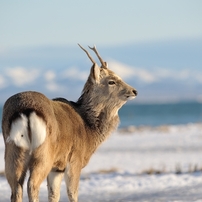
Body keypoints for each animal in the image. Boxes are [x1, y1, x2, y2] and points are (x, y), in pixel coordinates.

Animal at [1, 43, 137, 201]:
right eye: (111, 81)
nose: (134, 91)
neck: (89, 130)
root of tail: (26, 110)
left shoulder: (57, 167)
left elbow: (54, 194)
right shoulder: (75, 159)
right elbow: (72, 193)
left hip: (13, 151)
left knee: (16, 188)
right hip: (43, 152)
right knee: (32, 184)